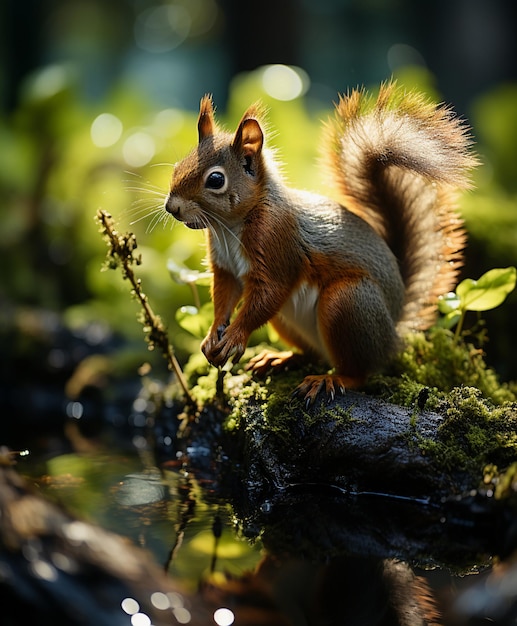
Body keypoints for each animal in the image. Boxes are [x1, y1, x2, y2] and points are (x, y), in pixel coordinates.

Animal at [164, 80, 476, 402]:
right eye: (177, 166)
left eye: (215, 180)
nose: (172, 207)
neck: (229, 227)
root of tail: (394, 334)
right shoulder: (225, 268)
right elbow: (225, 295)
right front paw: (212, 335)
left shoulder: (278, 243)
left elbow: (269, 293)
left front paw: (235, 337)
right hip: (288, 320)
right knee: (312, 354)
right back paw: (281, 358)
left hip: (349, 303)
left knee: (359, 372)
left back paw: (331, 379)